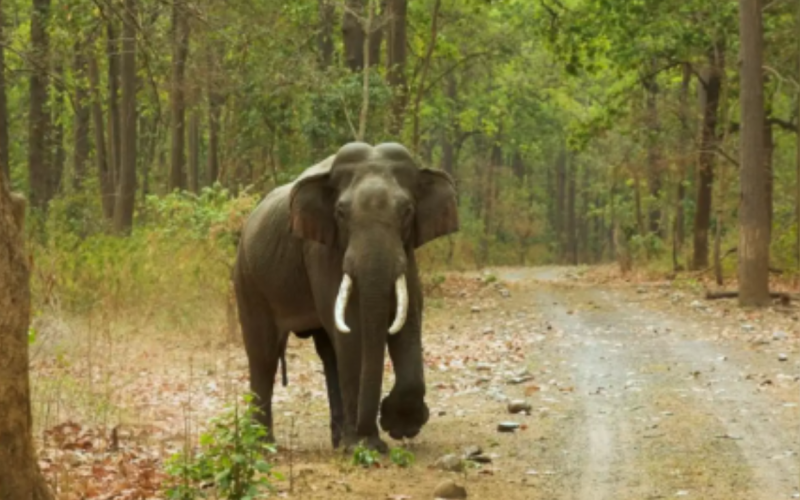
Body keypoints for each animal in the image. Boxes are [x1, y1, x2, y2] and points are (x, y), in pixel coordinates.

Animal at [233, 141, 459, 452]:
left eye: (407, 211)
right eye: (340, 212)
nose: (373, 434)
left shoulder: (406, 249)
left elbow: (409, 318)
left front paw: (398, 428)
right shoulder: (321, 248)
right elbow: (352, 330)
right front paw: (365, 446)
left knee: (328, 353)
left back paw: (338, 441)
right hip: (248, 280)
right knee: (263, 355)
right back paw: (262, 445)